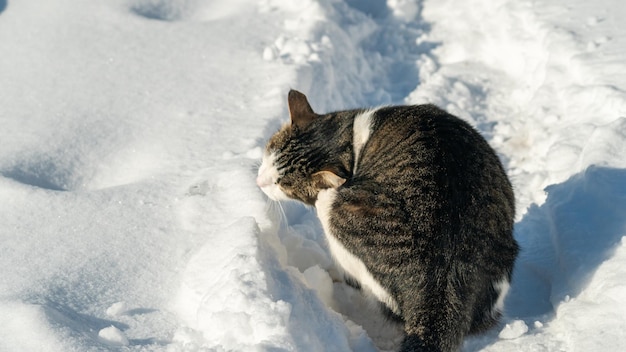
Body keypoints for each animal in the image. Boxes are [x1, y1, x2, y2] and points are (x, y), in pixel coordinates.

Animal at [255, 89, 516, 350]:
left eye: (284, 184)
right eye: (268, 153)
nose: (259, 182)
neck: (351, 140)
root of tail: (441, 287)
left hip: (335, 209)